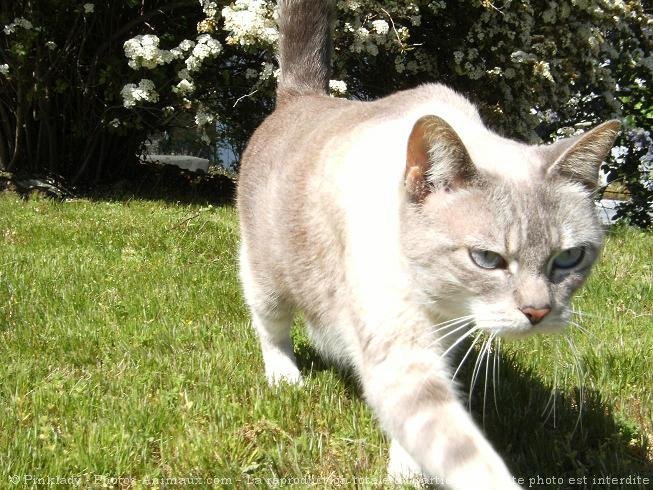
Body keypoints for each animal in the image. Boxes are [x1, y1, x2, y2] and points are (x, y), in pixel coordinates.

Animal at [234, 1, 616, 488]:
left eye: (569, 258)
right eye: (487, 259)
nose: (537, 313)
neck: (443, 303)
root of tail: (302, 95)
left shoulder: (447, 338)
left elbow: (417, 437)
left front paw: (406, 473)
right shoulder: (402, 349)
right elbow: (460, 448)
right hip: (266, 276)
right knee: (272, 328)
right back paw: (285, 379)